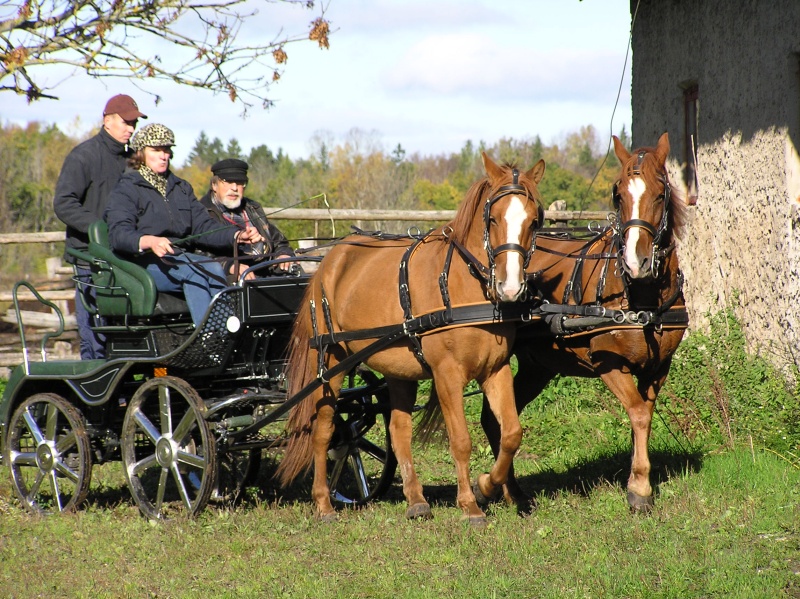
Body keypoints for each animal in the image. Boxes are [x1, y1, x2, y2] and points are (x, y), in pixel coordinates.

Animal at [278, 154, 548, 524]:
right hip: (331, 364)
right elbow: (461, 440)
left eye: (534, 221)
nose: (510, 287)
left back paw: (416, 500)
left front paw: (486, 485)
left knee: (398, 430)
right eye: (492, 218)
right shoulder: (447, 375)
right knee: (323, 431)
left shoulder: (497, 370)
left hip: (398, 369)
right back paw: (323, 503)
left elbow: (511, 434)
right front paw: (470, 504)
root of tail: (329, 261)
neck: (462, 287)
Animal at [478, 134, 692, 512]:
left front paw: (639, 480)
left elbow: (645, 415)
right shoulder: (609, 363)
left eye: (661, 192)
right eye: (618, 193)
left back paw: (510, 490)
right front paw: (640, 488)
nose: (636, 261)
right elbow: (638, 413)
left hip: (537, 367)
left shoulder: (658, 368)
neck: (640, 296)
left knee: (496, 419)